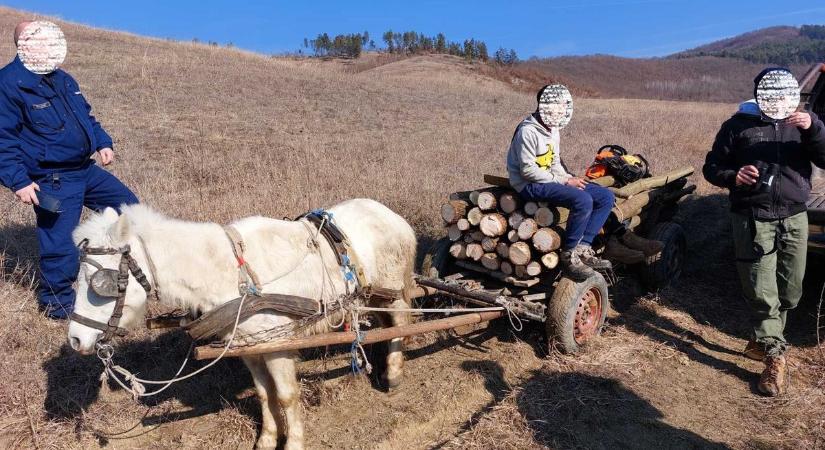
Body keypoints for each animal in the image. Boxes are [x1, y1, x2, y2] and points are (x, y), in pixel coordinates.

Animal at [66, 200, 418, 450]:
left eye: (101, 281)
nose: (76, 339)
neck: (229, 273)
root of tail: (391, 216)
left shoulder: (277, 344)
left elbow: (286, 395)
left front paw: (294, 442)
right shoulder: (250, 346)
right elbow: (264, 394)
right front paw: (266, 439)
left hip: (392, 290)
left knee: (400, 323)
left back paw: (394, 373)